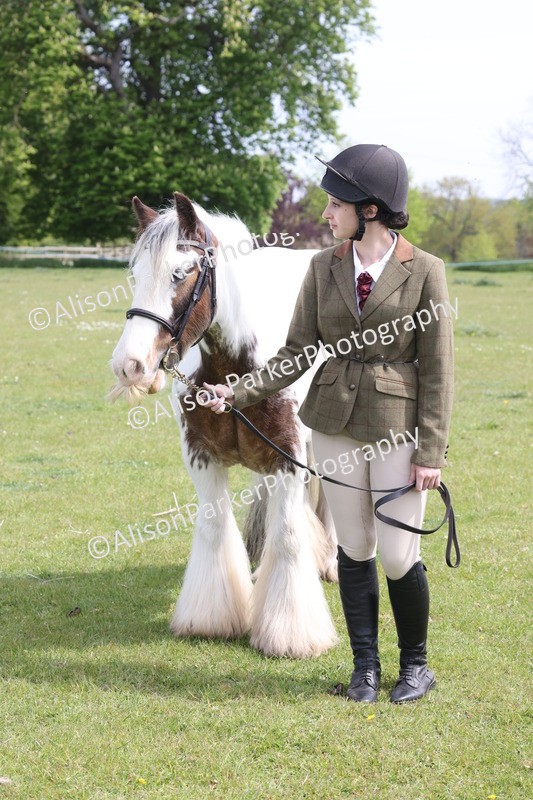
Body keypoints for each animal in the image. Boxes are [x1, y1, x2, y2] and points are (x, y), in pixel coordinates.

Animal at [109, 192, 338, 658]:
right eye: (135, 274)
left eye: (180, 273)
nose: (130, 366)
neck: (234, 370)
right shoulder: (203, 458)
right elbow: (215, 530)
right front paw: (212, 618)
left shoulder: (289, 460)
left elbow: (289, 535)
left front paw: (292, 633)